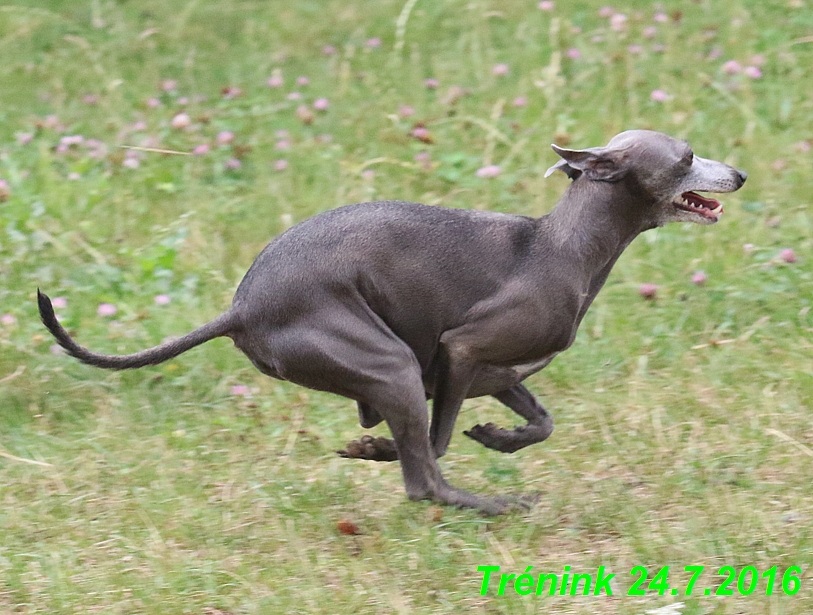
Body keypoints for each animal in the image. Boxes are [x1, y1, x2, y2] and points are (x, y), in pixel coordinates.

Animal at [39, 130, 748, 516]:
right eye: (686, 156)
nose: (740, 173)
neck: (562, 246)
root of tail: (242, 306)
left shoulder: (495, 373)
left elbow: (540, 422)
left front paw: (496, 437)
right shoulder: (459, 352)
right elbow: (439, 440)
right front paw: (391, 448)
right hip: (390, 365)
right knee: (425, 483)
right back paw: (494, 505)